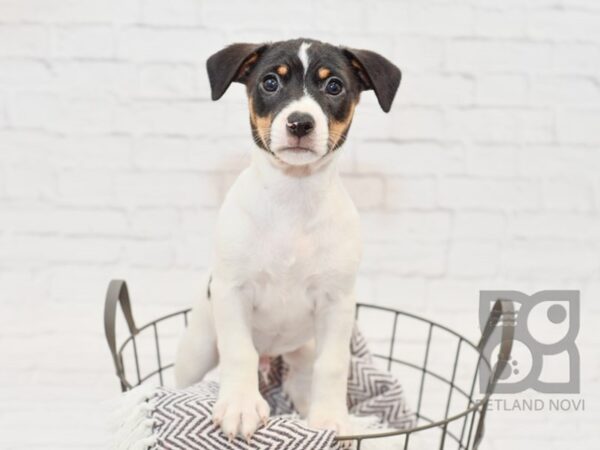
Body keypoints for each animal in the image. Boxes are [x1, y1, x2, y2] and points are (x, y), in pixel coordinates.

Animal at [175, 37, 398, 442]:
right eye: (270, 82)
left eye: (334, 86)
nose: (300, 123)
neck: (293, 196)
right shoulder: (232, 291)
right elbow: (239, 352)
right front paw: (241, 406)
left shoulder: (336, 303)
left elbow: (333, 365)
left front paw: (330, 419)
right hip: (198, 346)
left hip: (303, 353)